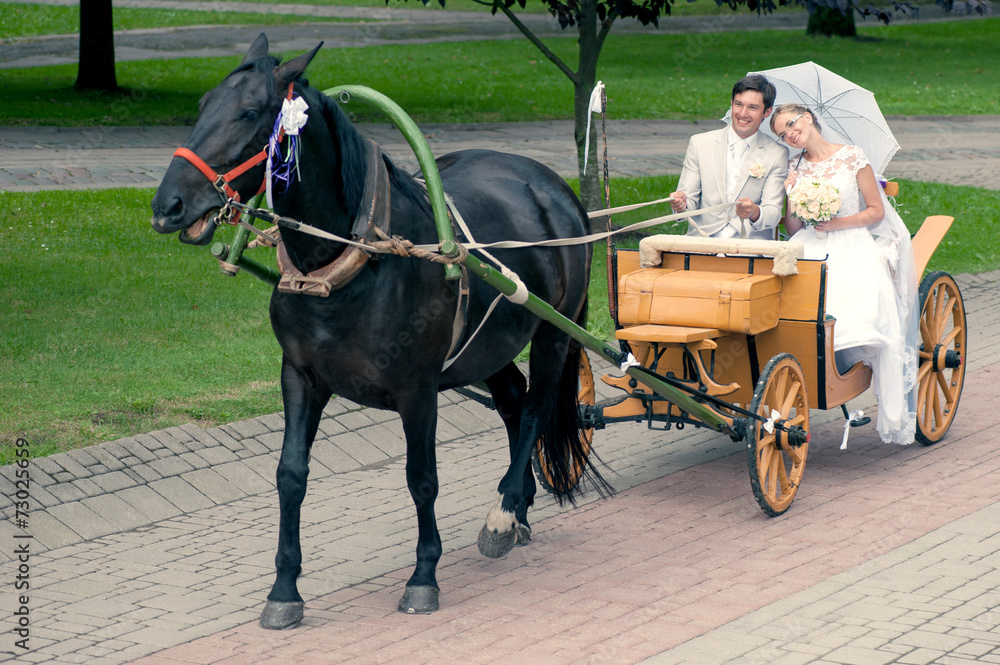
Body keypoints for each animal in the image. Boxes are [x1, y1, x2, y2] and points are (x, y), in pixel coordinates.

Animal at [152, 35, 596, 628]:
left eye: (249, 113)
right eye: (202, 105)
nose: (168, 206)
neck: (351, 263)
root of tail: (553, 188)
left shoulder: (419, 390)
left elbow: (421, 479)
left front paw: (424, 575)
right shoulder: (300, 376)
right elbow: (291, 475)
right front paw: (284, 588)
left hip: (552, 333)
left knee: (533, 410)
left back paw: (502, 514)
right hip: (490, 344)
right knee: (512, 400)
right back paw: (517, 507)